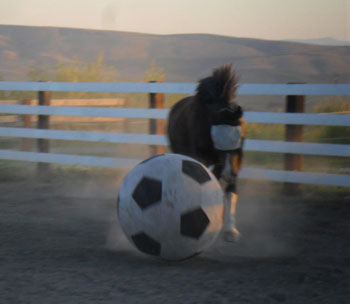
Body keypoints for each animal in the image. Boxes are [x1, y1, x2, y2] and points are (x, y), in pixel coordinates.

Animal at [167, 64, 246, 242]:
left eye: (237, 148)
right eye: (219, 147)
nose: (228, 174)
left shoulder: (234, 162)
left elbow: (230, 192)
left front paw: (230, 230)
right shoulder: (200, 157)